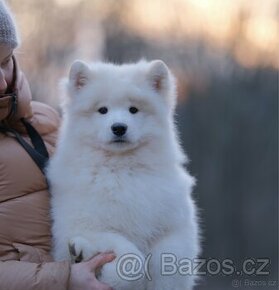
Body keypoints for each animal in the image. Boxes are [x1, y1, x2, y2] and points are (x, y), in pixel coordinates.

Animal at [48, 59, 201, 290]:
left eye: (133, 110)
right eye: (102, 110)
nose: (119, 127)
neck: (121, 170)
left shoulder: (173, 228)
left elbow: (169, 264)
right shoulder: (85, 225)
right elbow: (131, 257)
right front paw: (114, 277)